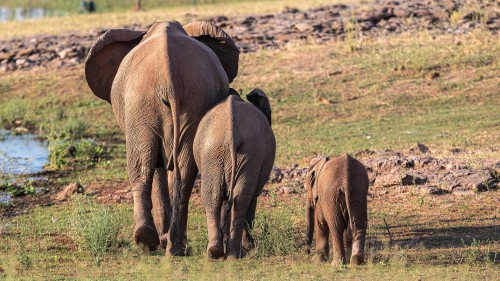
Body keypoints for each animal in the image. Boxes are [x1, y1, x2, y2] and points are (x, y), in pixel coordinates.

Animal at [85, 20, 239, 254]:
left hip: (144, 104)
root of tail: (169, 76)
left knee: (146, 165)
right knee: (179, 171)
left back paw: (151, 241)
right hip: (176, 102)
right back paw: (170, 245)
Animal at [193, 87, 276, 258]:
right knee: (242, 198)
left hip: (213, 152)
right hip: (248, 153)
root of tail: (231, 135)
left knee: (213, 195)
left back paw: (216, 252)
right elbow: (252, 198)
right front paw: (250, 247)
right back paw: (236, 253)